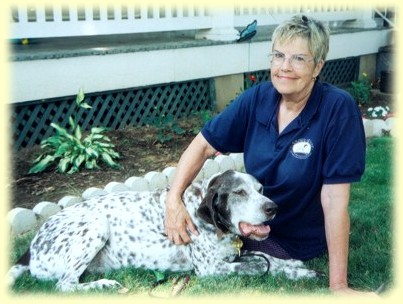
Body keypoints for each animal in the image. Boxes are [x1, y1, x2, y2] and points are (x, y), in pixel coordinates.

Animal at [7, 170, 320, 290]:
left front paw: (296, 267)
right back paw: (103, 285)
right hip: (96, 225)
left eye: (260, 189)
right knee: (65, 285)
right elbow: (257, 265)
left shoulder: (235, 255)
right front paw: (296, 271)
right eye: (240, 193)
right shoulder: (210, 270)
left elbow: (270, 260)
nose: (273, 208)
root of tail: (30, 249)